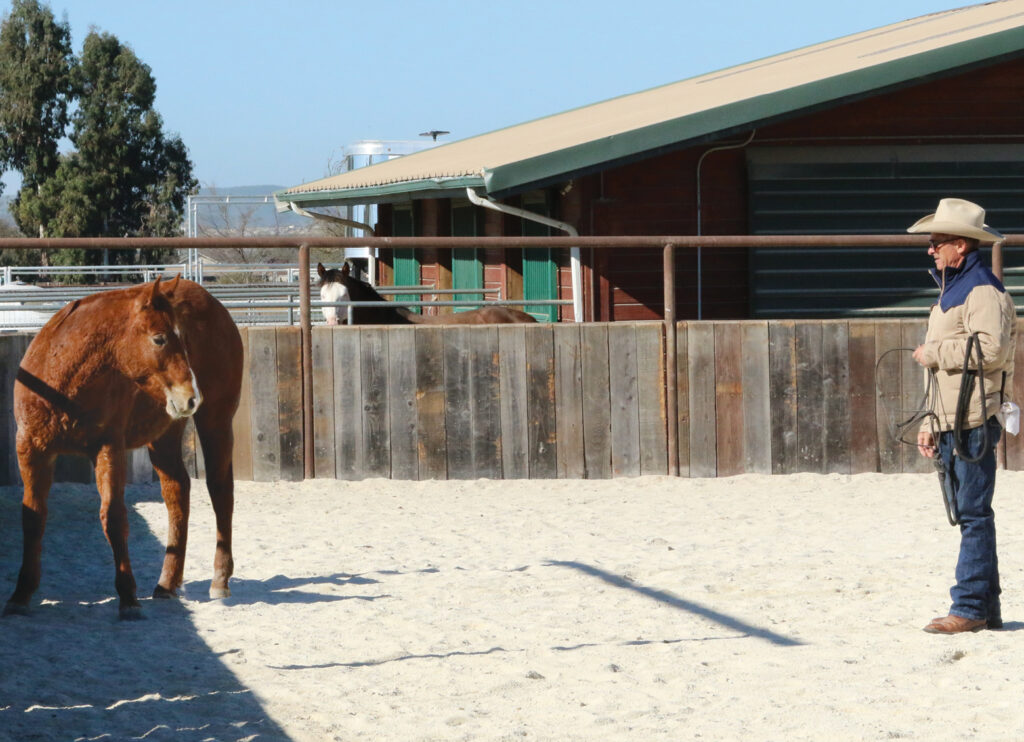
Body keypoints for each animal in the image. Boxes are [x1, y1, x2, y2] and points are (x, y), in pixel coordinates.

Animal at [4, 276, 243, 620]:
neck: (60, 382)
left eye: (182, 339)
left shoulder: (108, 450)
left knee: (221, 492)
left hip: (216, 421)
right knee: (177, 491)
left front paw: (128, 597)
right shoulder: (32, 452)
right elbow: (32, 517)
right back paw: (167, 583)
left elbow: (114, 518)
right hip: (164, 434)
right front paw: (20, 594)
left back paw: (220, 580)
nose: (191, 396)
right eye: (159, 339)